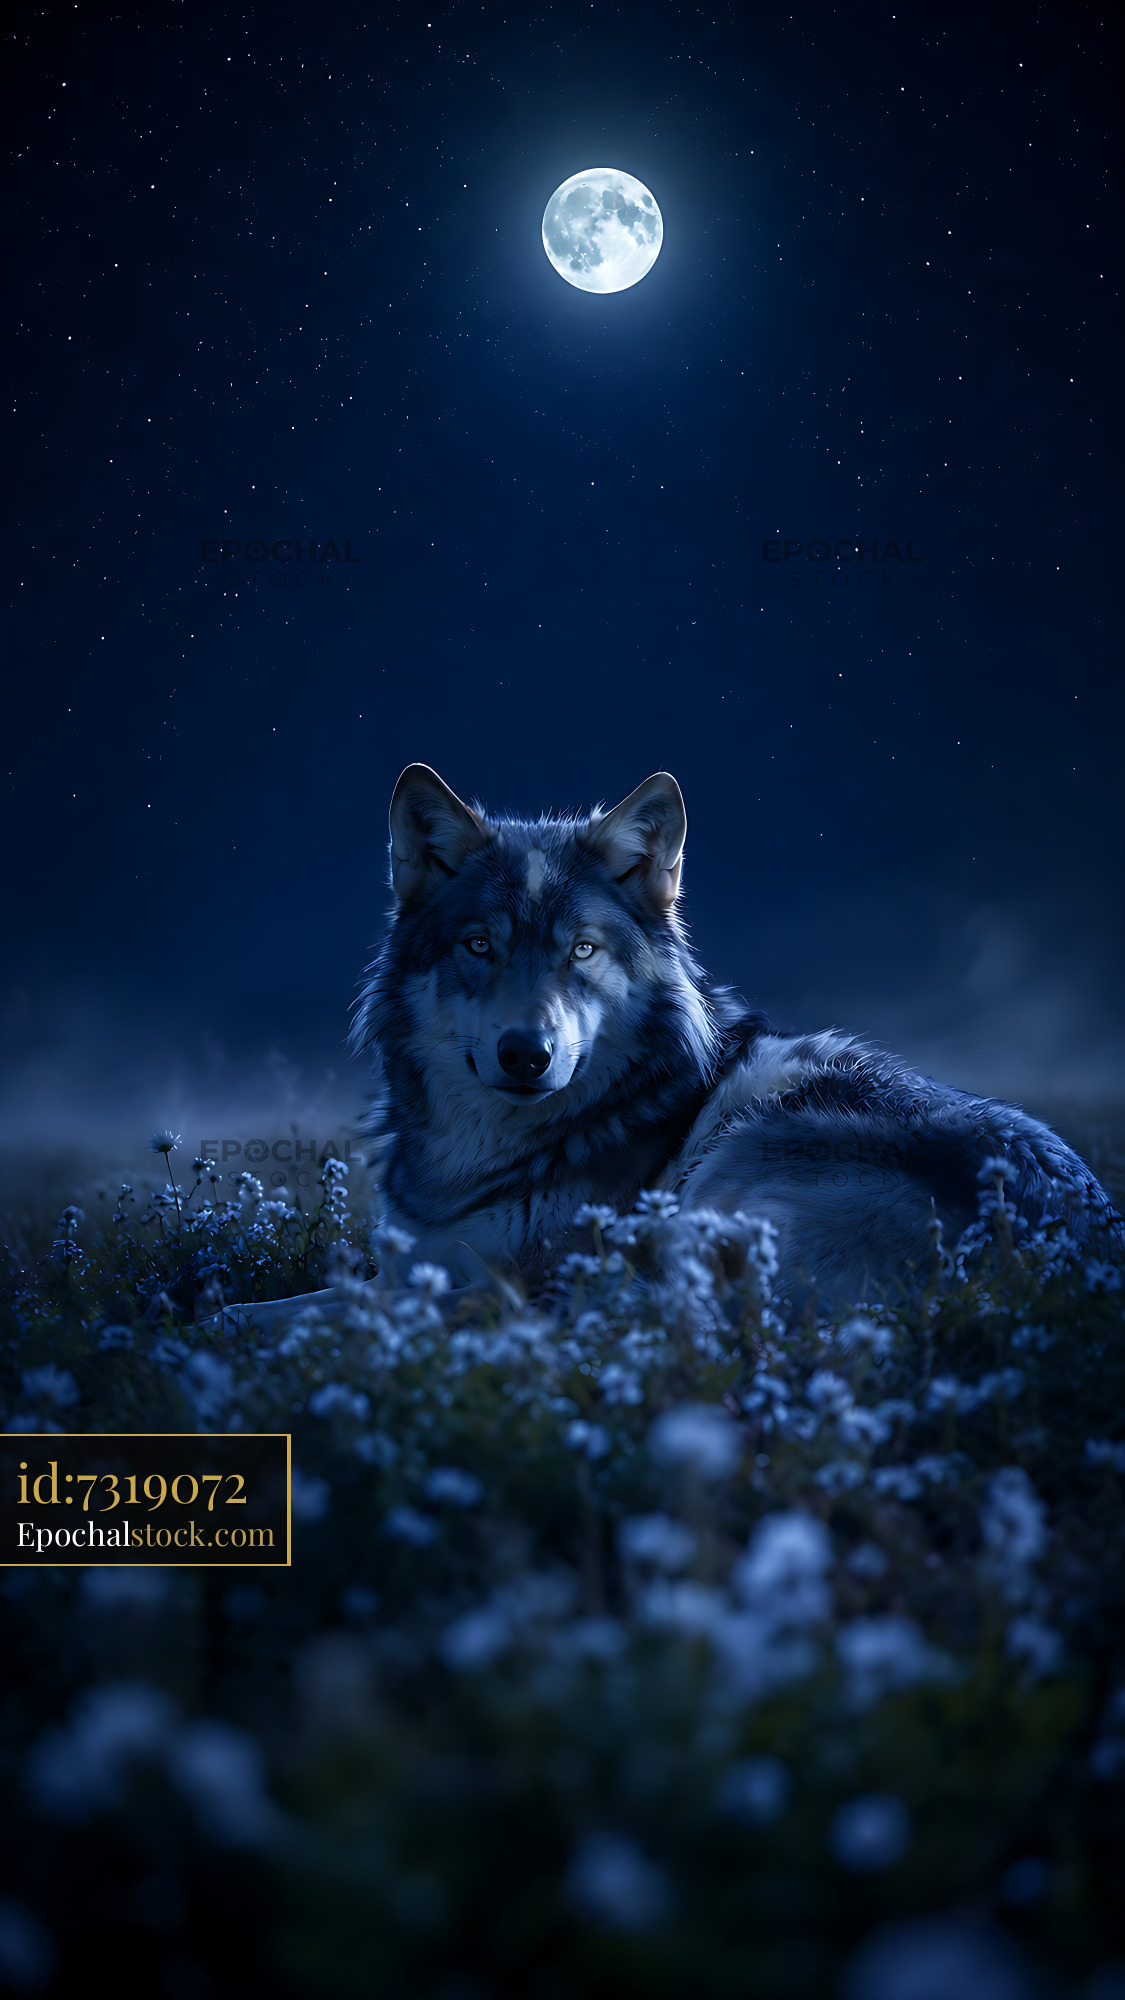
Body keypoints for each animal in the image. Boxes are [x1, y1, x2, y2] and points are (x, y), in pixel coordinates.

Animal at [337, 762, 1119, 1310]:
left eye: (582, 951)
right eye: (479, 945)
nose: (526, 1055)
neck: (472, 1162)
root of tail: (1076, 1261)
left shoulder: (527, 1271)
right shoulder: (404, 1266)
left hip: (732, 1161)